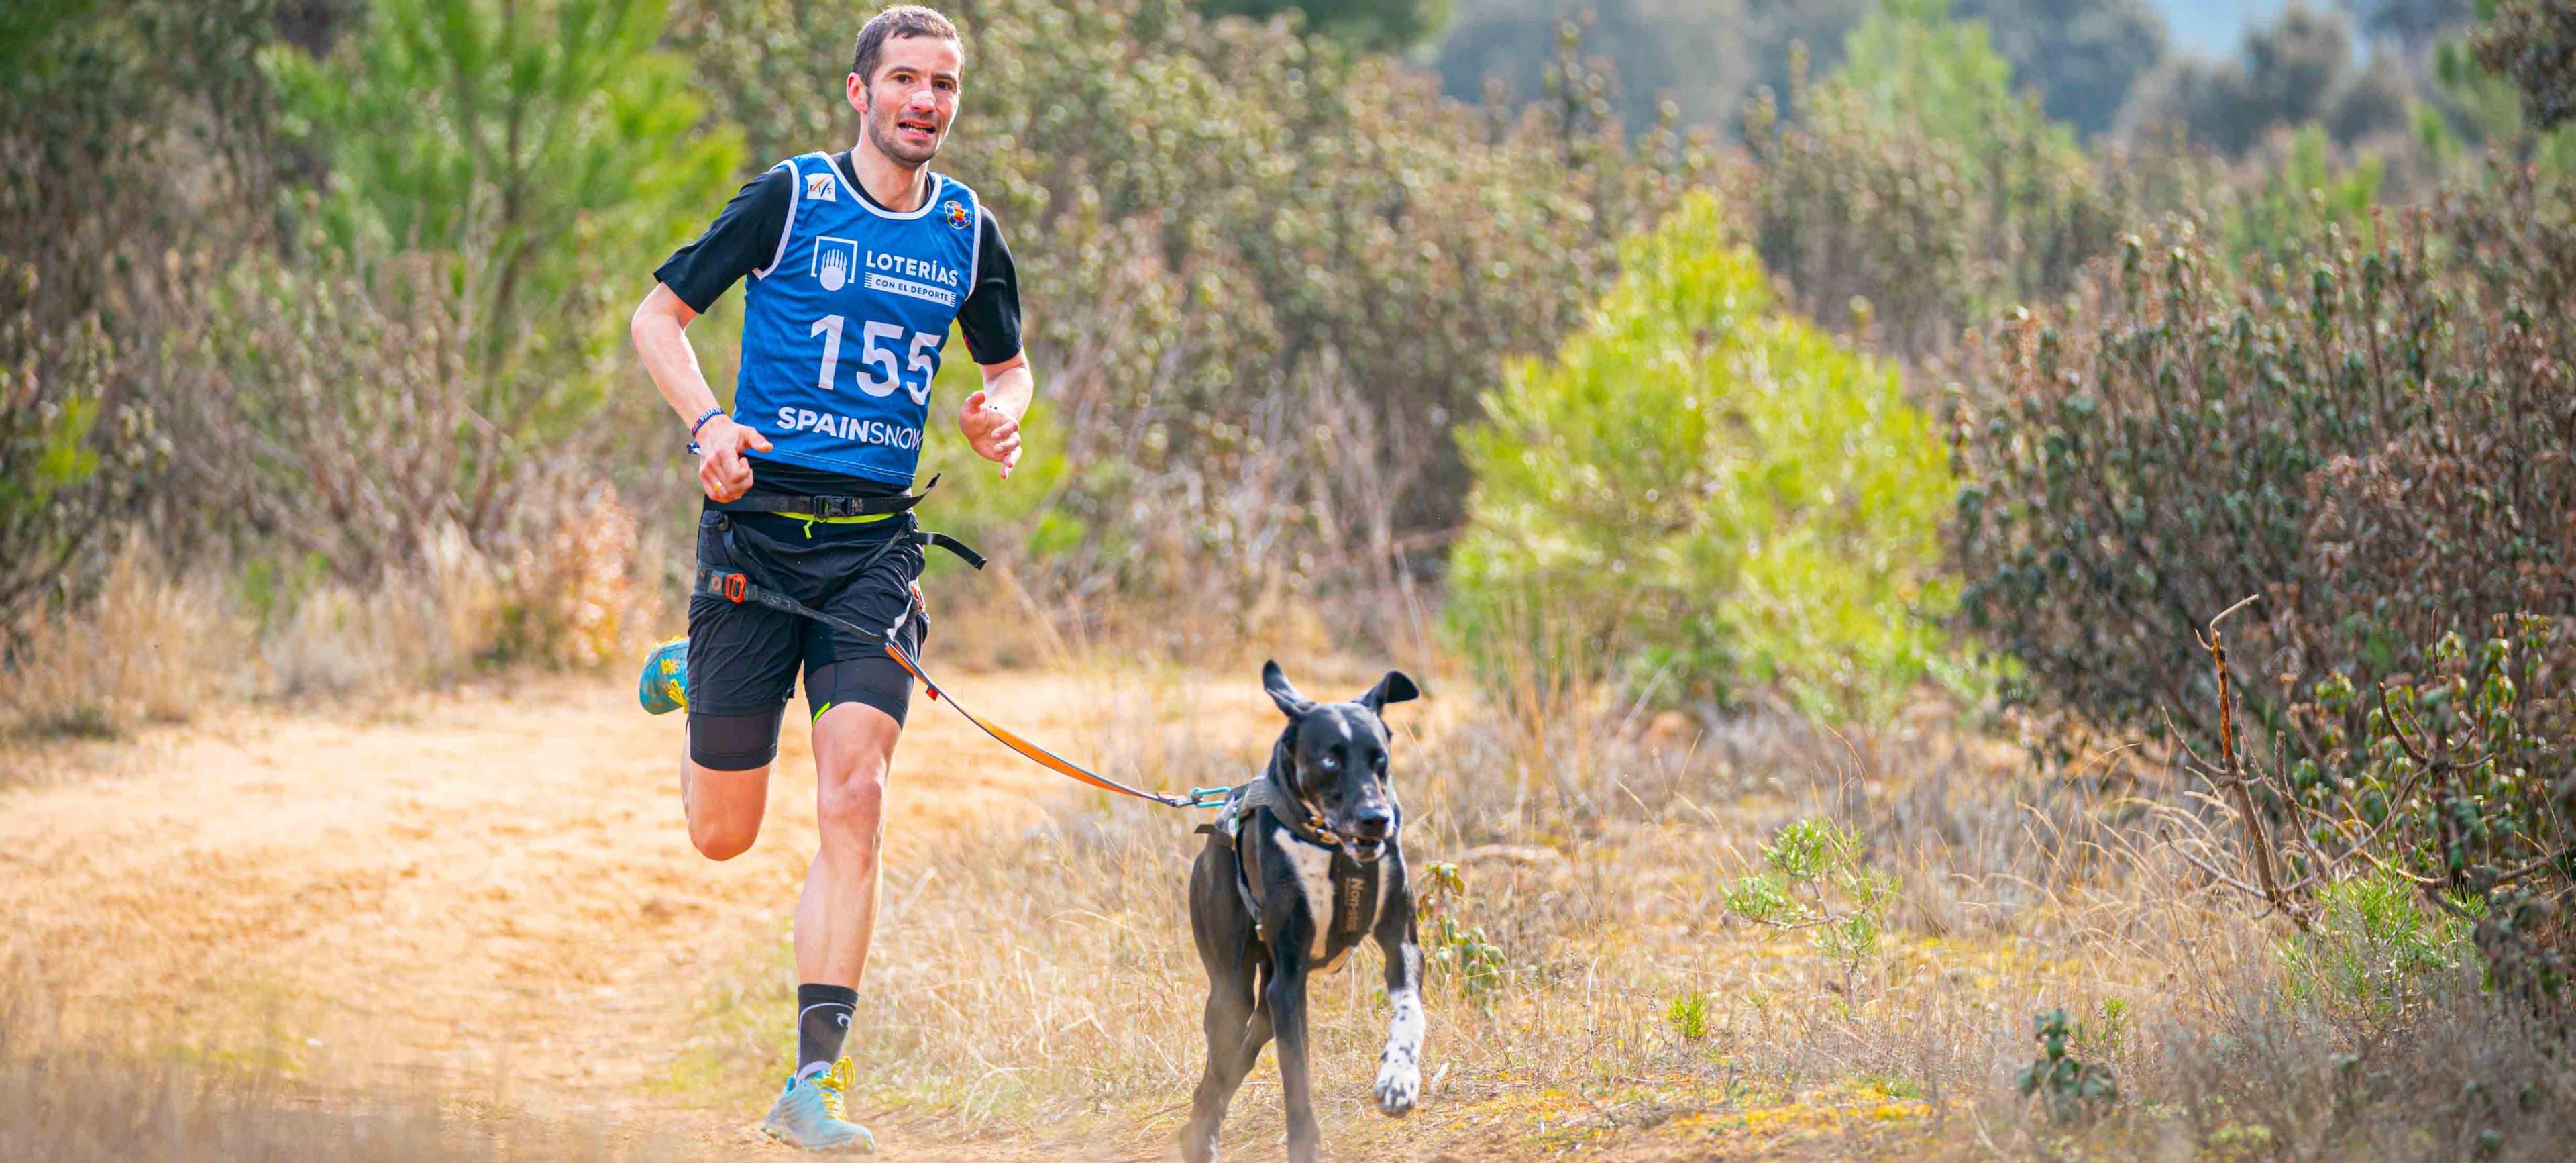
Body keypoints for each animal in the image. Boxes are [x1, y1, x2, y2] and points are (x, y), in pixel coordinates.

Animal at [1185, 665, 1432, 1163]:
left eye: (1380, 758)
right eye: (1330, 761)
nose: (1376, 818)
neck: (1333, 848)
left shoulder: (1401, 944)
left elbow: (1410, 1013)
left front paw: (1399, 1078)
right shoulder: (1290, 982)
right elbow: (1297, 1080)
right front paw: (1305, 1146)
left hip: (1263, 1008)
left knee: (1235, 1062)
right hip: (1233, 993)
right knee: (1218, 1068)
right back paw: (1200, 1140)